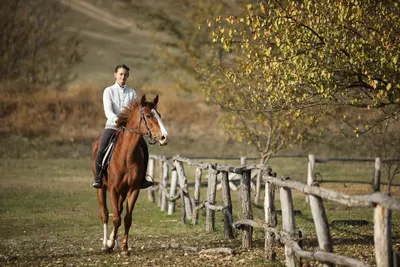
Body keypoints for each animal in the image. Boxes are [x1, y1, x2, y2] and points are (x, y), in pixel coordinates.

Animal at [90, 95, 167, 254]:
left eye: (159, 115)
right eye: (148, 115)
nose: (164, 137)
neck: (126, 154)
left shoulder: (133, 190)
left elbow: (126, 218)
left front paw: (124, 247)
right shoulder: (113, 189)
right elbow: (116, 218)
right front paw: (109, 244)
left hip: (123, 192)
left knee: (118, 211)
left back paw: (115, 243)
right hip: (102, 189)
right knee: (105, 213)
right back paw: (106, 244)